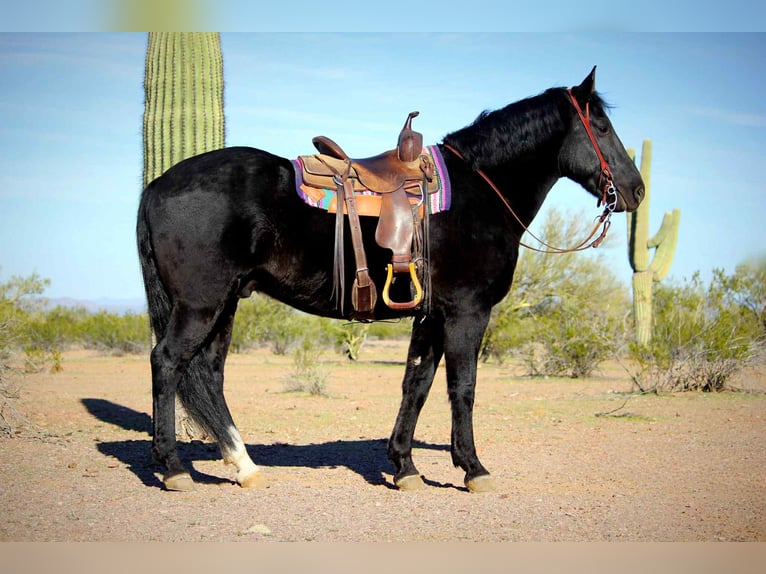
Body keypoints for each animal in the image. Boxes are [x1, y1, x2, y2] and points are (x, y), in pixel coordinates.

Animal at [136, 67, 644, 492]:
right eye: (601, 127)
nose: (636, 190)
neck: (481, 190)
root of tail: (157, 184)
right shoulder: (467, 312)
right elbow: (463, 388)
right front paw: (473, 468)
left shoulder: (431, 315)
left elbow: (416, 384)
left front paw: (405, 466)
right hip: (201, 305)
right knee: (167, 362)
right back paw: (175, 468)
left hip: (225, 304)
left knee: (207, 374)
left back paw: (243, 465)